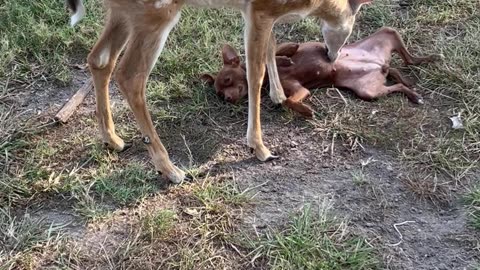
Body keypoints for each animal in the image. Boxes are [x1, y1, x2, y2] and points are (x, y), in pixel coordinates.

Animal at [64, 0, 372, 184]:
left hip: (124, 12)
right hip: (154, 12)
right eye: (350, 26)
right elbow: (255, 71)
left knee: (99, 59)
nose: (332, 56)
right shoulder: (261, 9)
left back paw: (114, 140)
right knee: (130, 75)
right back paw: (171, 170)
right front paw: (259, 147)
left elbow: (271, 46)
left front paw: (278, 96)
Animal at [202, 26, 442, 118]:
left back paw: (430, 60)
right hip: (369, 92)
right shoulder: (300, 90)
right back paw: (412, 91)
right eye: (220, 95)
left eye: (227, 79)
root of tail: (379, 64)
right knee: (397, 77)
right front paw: (305, 110)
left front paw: (286, 55)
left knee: (409, 60)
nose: (228, 98)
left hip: (387, 33)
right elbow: (288, 100)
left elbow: (281, 50)